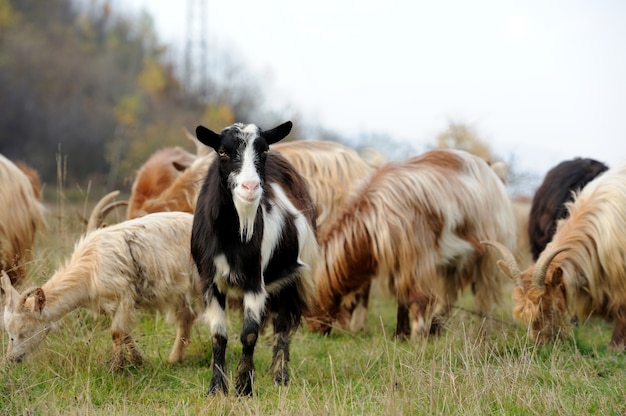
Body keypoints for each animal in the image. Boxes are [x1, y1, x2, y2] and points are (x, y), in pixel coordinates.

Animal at [0, 211, 199, 368]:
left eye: (24, 332)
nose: (11, 359)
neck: (90, 268)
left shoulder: (125, 295)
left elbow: (117, 332)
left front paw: (117, 367)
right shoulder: (110, 304)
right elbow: (125, 333)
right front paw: (137, 360)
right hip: (177, 290)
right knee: (186, 316)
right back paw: (175, 359)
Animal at [189, 121, 316, 396]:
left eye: (264, 150)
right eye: (222, 152)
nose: (250, 187)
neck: (230, 236)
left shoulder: (254, 281)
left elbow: (249, 334)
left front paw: (244, 387)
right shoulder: (209, 282)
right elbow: (218, 335)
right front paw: (217, 388)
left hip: (292, 278)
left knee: (283, 325)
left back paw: (280, 377)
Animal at [310, 149, 516, 338]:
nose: (313, 330)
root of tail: (492, 169)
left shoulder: (419, 258)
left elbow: (418, 297)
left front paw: (418, 335)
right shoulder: (398, 263)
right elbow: (401, 297)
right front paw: (401, 334)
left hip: (489, 253)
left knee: (485, 293)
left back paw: (482, 333)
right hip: (455, 259)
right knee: (450, 294)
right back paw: (436, 327)